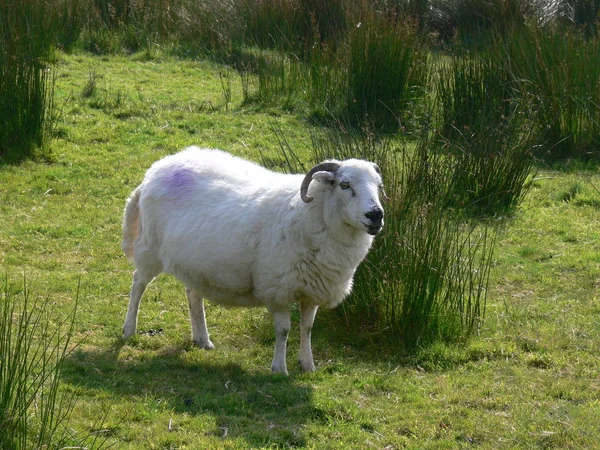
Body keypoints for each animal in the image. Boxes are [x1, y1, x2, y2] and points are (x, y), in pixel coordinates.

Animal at [119, 147, 386, 372]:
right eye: (344, 184)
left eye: (378, 185)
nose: (376, 215)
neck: (308, 214)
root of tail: (156, 169)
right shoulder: (276, 289)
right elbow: (284, 330)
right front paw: (279, 369)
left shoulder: (313, 289)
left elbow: (307, 328)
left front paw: (308, 364)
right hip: (150, 249)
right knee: (138, 283)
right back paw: (129, 329)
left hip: (194, 263)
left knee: (193, 294)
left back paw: (202, 339)